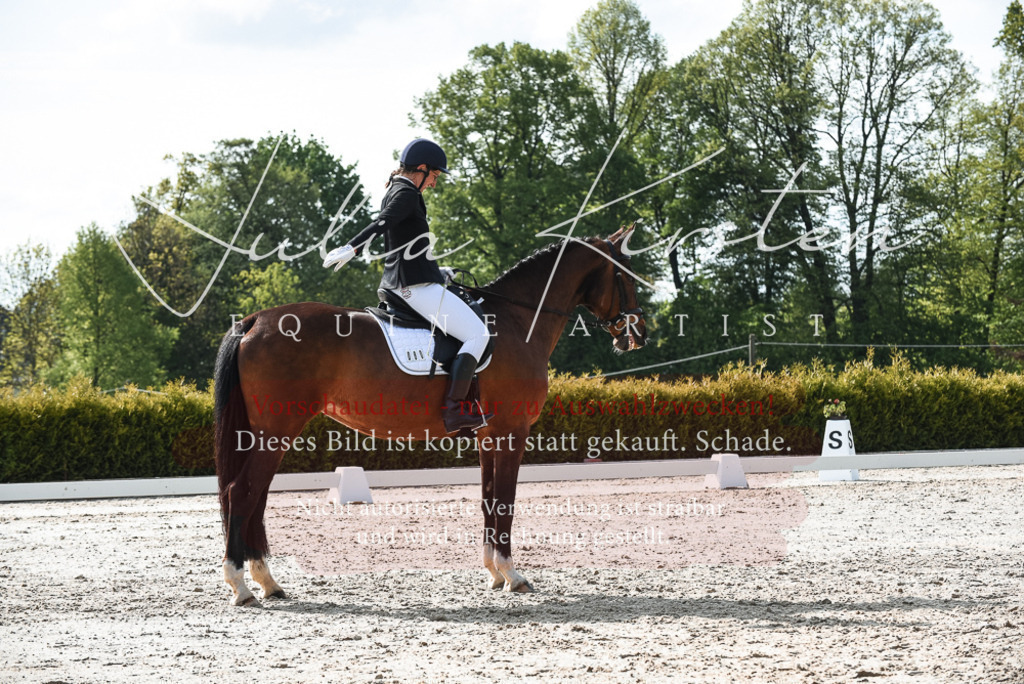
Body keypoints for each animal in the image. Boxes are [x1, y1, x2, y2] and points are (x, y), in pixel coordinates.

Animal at [213, 225, 648, 605]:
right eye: (627, 276)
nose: (639, 334)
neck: (517, 320)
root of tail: (256, 320)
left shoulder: (488, 435)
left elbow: (488, 499)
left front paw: (493, 573)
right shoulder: (512, 431)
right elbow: (504, 501)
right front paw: (513, 575)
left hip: (266, 434)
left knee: (255, 497)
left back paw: (268, 582)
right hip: (277, 430)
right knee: (243, 492)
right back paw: (242, 586)